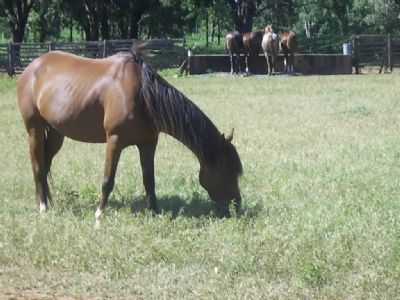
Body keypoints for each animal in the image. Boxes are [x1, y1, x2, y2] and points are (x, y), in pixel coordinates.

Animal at [17, 48, 242, 224]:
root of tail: (31, 68)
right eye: (228, 171)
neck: (144, 95)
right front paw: (99, 215)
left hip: (57, 133)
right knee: (37, 166)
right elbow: (108, 180)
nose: (237, 206)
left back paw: (48, 202)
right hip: (34, 129)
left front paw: (155, 212)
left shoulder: (148, 143)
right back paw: (43, 207)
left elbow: (149, 181)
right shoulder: (114, 141)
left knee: (45, 164)